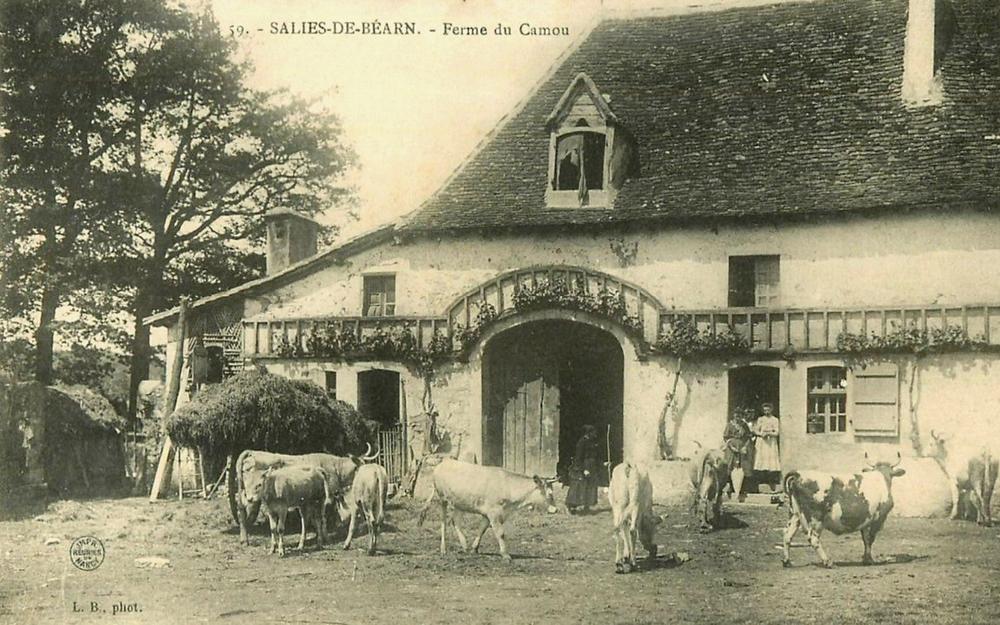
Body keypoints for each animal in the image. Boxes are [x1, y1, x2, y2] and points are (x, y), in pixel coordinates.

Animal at [234, 446, 378, 544]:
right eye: (361, 466)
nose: (367, 474)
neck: (336, 468)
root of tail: (252, 452)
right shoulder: (327, 497)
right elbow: (322, 517)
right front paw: (324, 537)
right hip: (251, 494)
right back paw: (245, 538)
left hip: (245, 492)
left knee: (240, 510)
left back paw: (243, 539)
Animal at [414, 458, 556, 560]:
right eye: (549, 494)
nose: (555, 510)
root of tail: (445, 462)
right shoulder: (494, 512)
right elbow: (500, 533)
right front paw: (505, 554)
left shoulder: (489, 513)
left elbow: (482, 529)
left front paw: (474, 548)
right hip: (443, 499)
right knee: (443, 523)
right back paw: (443, 549)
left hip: (460, 502)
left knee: (455, 520)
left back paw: (464, 545)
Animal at [780, 450, 908, 568]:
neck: (881, 478)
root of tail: (799, 474)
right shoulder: (878, 518)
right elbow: (870, 538)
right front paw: (869, 559)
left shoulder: (866, 519)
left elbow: (865, 539)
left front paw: (867, 559)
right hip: (816, 518)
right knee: (813, 538)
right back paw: (828, 562)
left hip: (794, 514)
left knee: (787, 534)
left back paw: (787, 562)